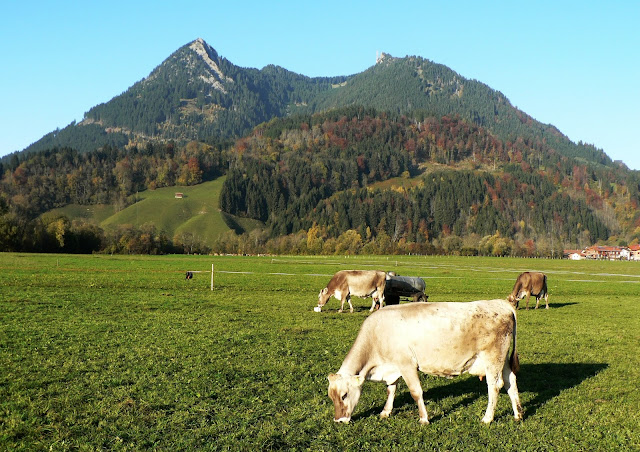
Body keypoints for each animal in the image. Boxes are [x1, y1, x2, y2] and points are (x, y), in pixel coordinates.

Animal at [328, 300, 524, 424]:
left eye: (344, 395)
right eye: (331, 397)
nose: (338, 420)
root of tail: (502, 303)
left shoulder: (407, 364)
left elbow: (416, 392)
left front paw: (424, 418)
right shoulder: (393, 366)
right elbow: (391, 389)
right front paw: (385, 412)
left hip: (492, 358)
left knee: (495, 386)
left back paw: (487, 418)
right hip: (502, 361)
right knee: (511, 381)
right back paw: (518, 414)